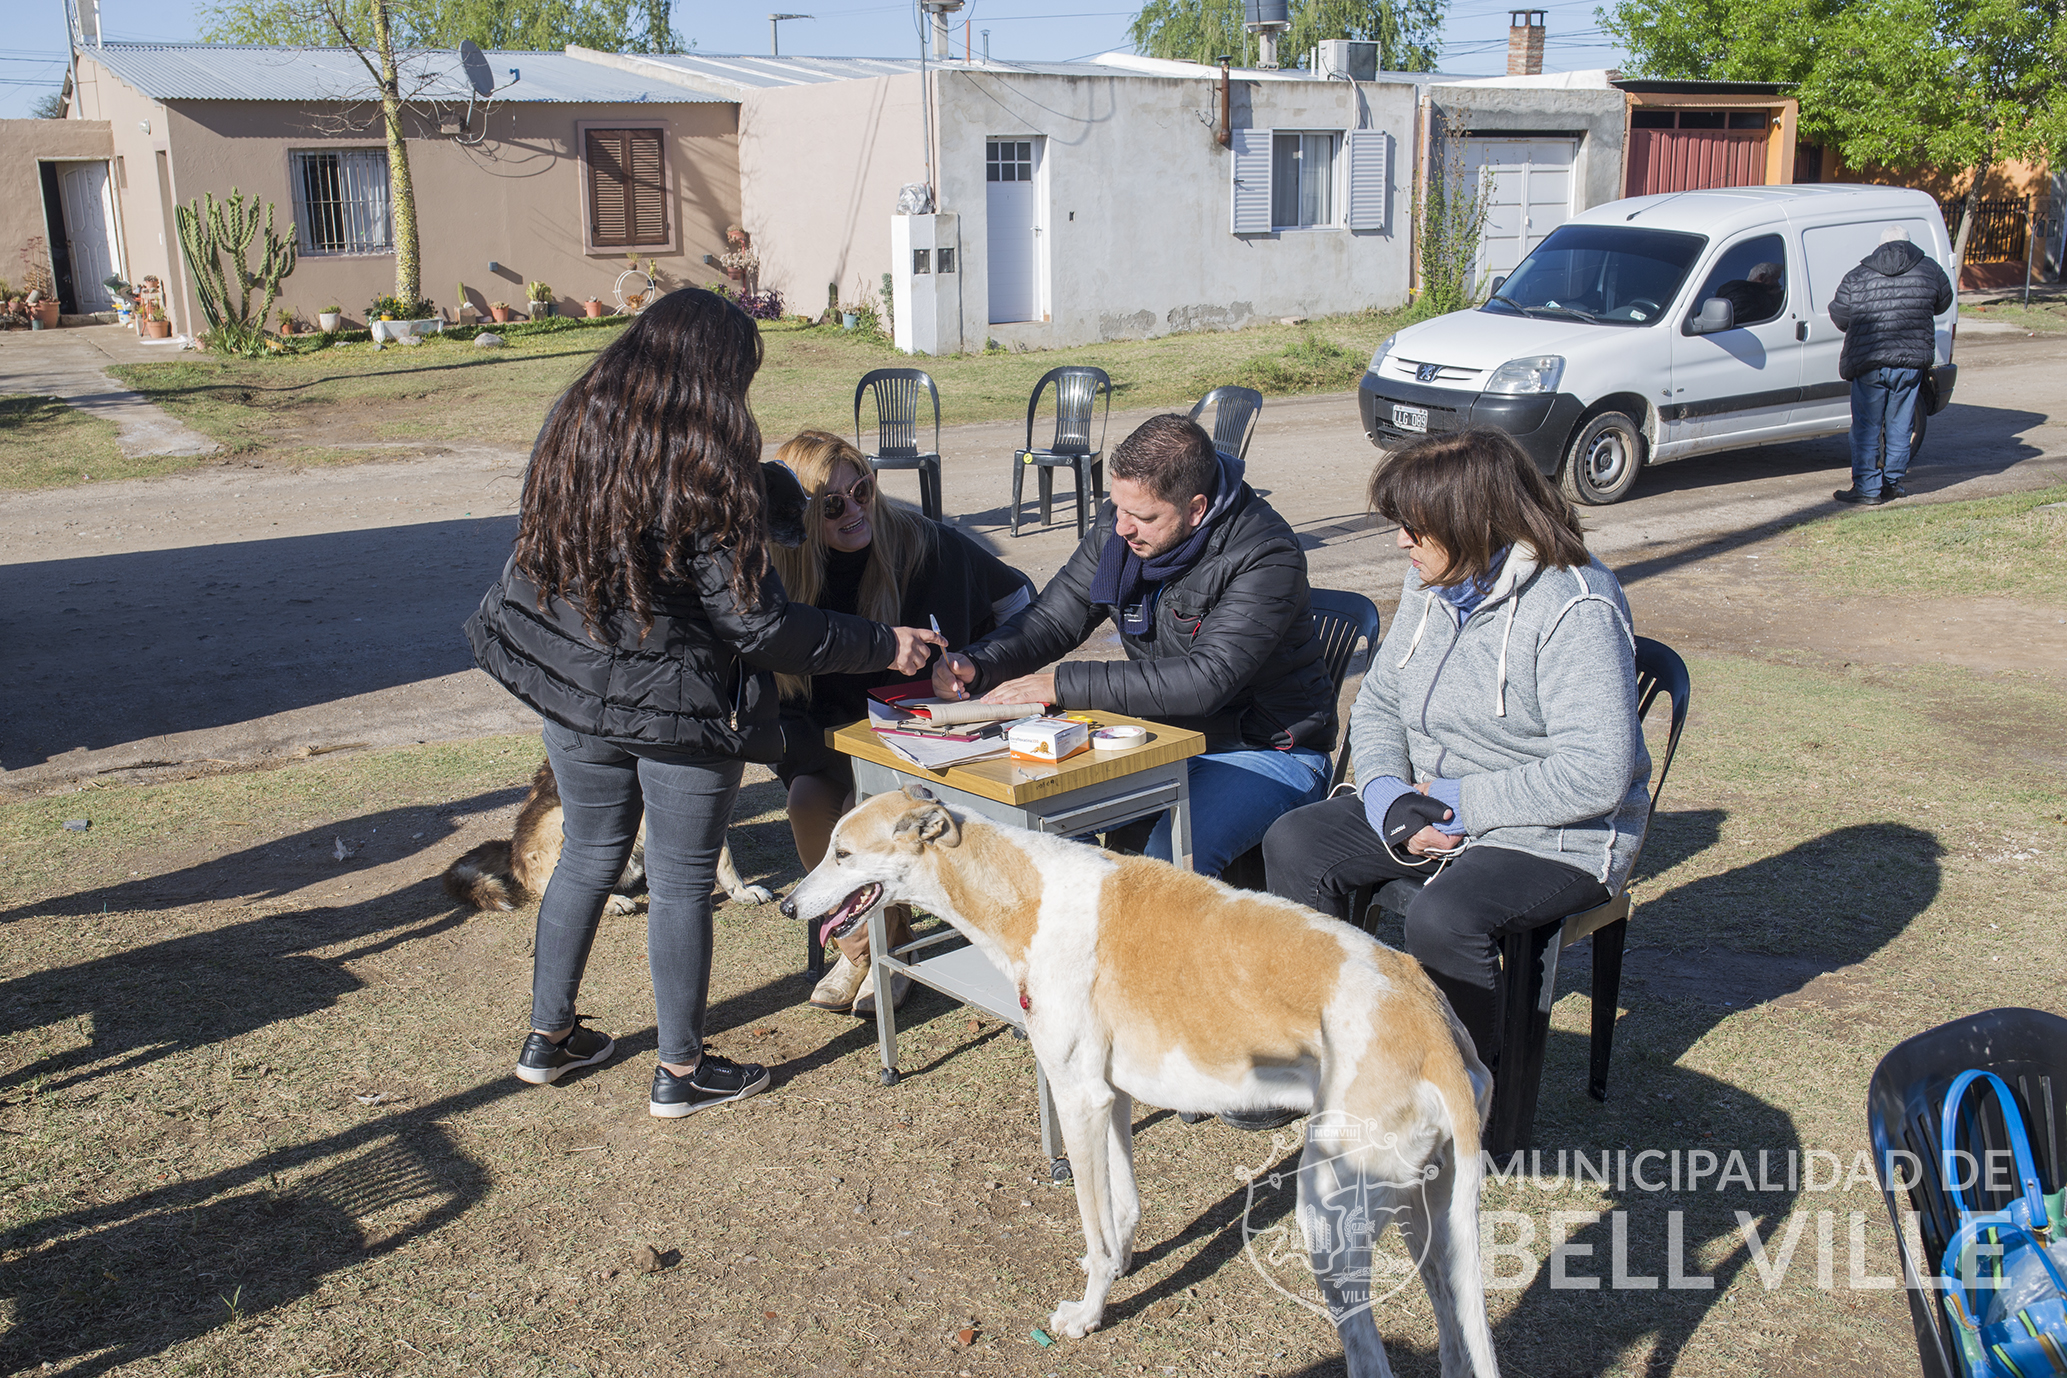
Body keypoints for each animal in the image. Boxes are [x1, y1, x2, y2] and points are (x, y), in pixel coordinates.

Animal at [780, 789, 1499, 1378]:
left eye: (842, 854)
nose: (788, 905)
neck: (1025, 891)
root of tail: (1435, 1026)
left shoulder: (1077, 1098)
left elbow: (1094, 1225)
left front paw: (1087, 1313)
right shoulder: (1112, 1096)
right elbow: (1121, 1209)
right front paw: (1121, 1264)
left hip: (1328, 1213)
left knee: (1370, 1355)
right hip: (1427, 1220)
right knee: (1455, 1339)